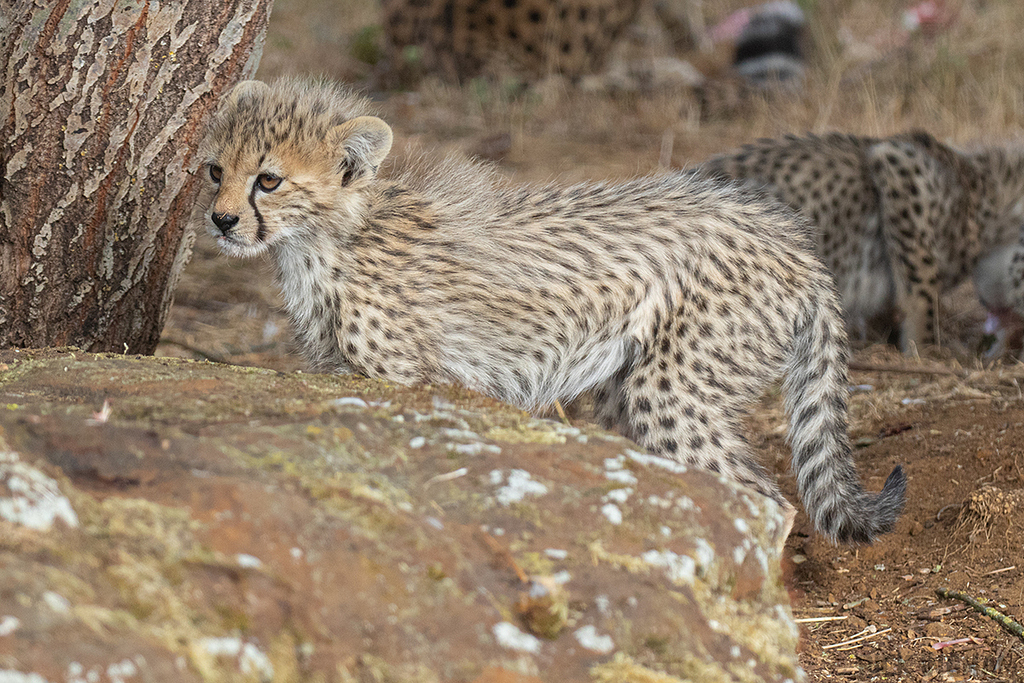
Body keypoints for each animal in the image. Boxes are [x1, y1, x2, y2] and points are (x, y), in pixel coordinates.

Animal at [193, 78, 906, 544]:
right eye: (214, 170)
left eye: (268, 180)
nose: (222, 221)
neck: (327, 238)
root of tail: (792, 241)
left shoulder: (408, 382)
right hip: (628, 390)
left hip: (670, 388)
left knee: (762, 499)